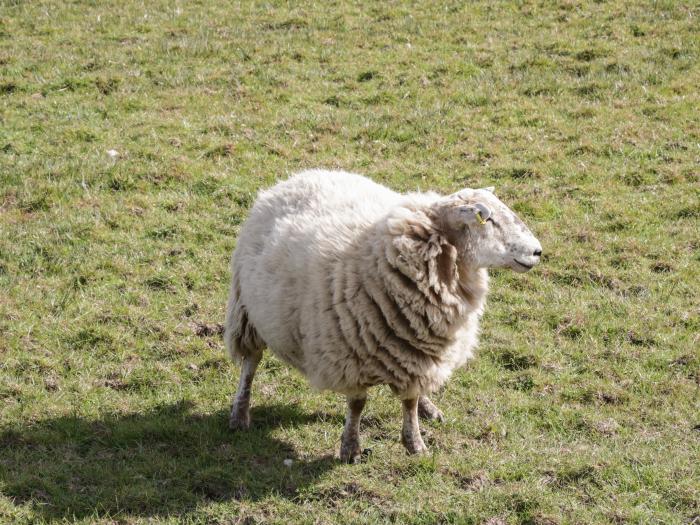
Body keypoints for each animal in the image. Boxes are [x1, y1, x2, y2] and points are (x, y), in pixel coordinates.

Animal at [224, 170, 540, 460]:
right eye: (487, 219)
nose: (538, 251)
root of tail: (298, 176)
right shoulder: (349, 356)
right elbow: (357, 405)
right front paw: (351, 448)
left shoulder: (418, 354)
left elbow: (410, 401)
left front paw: (415, 443)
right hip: (246, 311)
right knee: (250, 363)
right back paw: (240, 414)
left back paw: (429, 407)